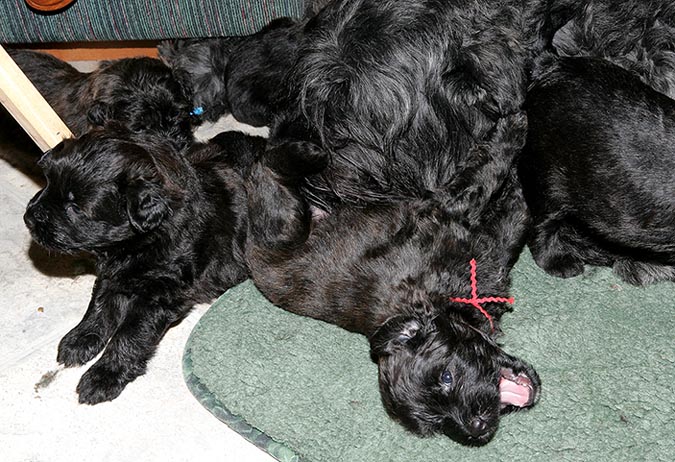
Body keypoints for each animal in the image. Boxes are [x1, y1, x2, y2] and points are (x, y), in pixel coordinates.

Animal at [23, 125, 263, 404]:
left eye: (76, 207)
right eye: (48, 181)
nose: (28, 218)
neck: (142, 239)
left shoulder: (159, 295)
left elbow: (130, 334)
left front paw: (104, 375)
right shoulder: (113, 274)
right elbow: (99, 307)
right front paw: (80, 339)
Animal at [245, 112, 540, 446]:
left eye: (447, 376)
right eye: (440, 423)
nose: (476, 427)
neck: (431, 299)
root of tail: (250, 254)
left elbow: (503, 206)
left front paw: (513, 139)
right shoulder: (448, 208)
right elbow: (484, 181)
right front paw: (514, 132)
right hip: (283, 224)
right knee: (265, 169)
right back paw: (308, 153)